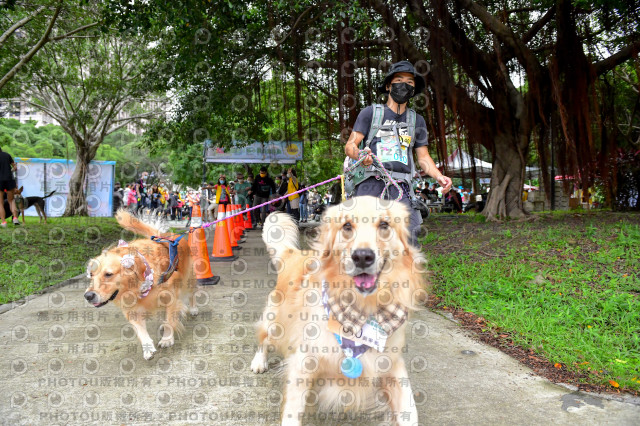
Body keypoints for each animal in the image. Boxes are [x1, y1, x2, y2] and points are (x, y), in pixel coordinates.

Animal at [84, 210, 198, 360]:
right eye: (91, 275)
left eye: (108, 274)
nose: (88, 296)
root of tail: (162, 236)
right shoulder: (131, 309)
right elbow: (140, 330)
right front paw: (148, 348)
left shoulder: (171, 297)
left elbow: (170, 319)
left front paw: (167, 339)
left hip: (189, 279)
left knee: (192, 294)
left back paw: (193, 308)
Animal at [252, 196, 428, 422]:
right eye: (347, 226)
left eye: (384, 225)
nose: (362, 257)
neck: (360, 310)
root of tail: (294, 253)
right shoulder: (304, 362)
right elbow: (292, 411)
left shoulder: (391, 363)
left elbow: (410, 409)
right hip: (276, 323)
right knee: (264, 338)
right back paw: (258, 361)